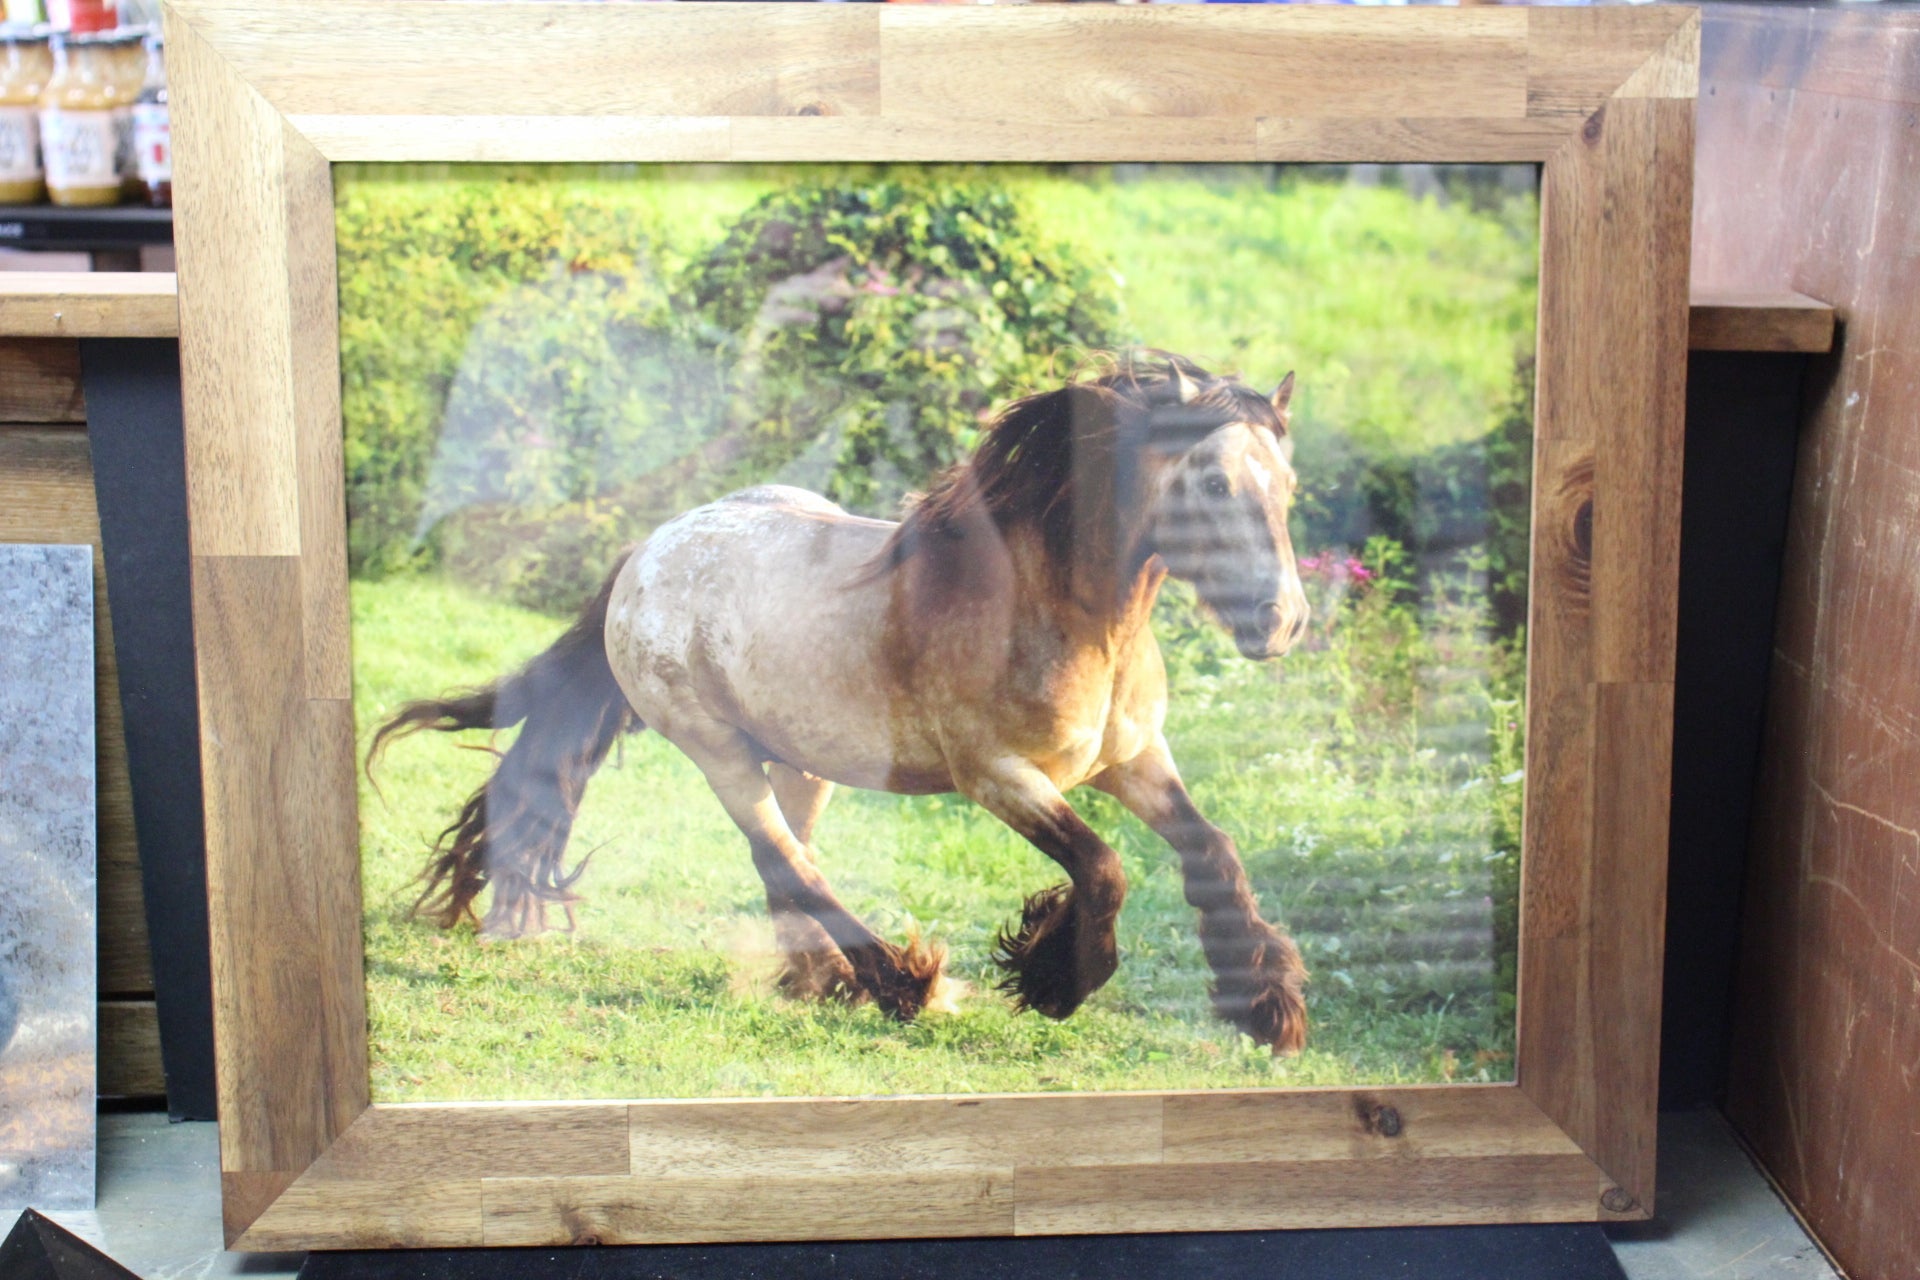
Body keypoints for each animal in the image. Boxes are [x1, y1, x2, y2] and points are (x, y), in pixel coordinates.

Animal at [373, 352, 1315, 1052]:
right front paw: (1053, 980)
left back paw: (822, 982)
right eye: (1216, 485)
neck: (1060, 613)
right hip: (717, 750)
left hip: (803, 760)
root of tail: (647, 550)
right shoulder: (996, 776)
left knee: (789, 860)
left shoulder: (1134, 759)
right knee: (786, 859)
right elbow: (1104, 865)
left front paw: (1267, 1006)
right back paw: (902, 985)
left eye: (1290, 487)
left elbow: (1213, 848)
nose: (1283, 622)